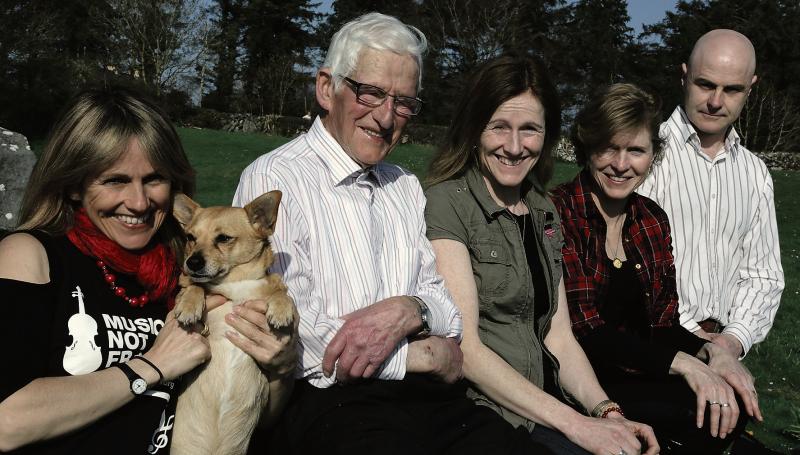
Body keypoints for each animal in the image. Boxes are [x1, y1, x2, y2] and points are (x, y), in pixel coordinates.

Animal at [170, 191, 296, 455]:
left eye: (224, 239)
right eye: (190, 238)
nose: (192, 262)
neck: (233, 284)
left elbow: (280, 290)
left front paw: (281, 310)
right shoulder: (188, 285)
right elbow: (194, 285)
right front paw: (189, 306)